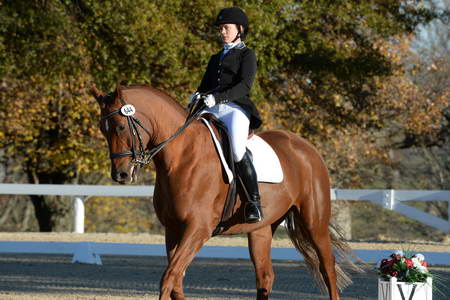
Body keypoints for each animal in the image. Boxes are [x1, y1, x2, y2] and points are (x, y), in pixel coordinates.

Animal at [92, 83, 356, 298]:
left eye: (119, 127)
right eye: (103, 129)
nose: (120, 175)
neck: (181, 156)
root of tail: (306, 148)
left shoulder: (198, 229)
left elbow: (168, 279)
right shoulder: (173, 230)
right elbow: (176, 281)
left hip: (314, 222)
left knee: (327, 267)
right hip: (261, 229)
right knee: (265, 276)